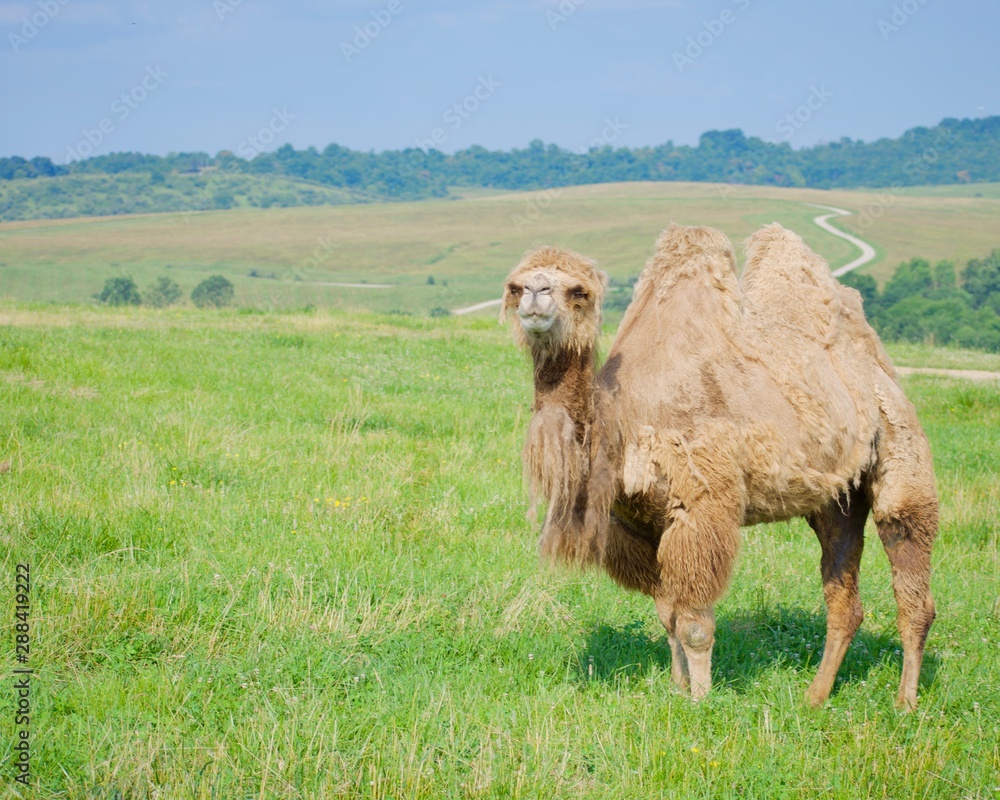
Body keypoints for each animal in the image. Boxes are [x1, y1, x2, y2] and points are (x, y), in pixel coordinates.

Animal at [500, 223, 938, 709]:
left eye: (579, 291)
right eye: (515, 285)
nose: (536, 294)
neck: (621, 424)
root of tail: (880, 369)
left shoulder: (702, 507)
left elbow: (694, 624)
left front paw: (700, 700)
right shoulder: (641, 526)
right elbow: (667, 615)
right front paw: (676, 686)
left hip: (900, 442)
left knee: (909, 560)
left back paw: (906, 703)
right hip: (835, 497)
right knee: (844, 594)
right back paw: (814, 697)